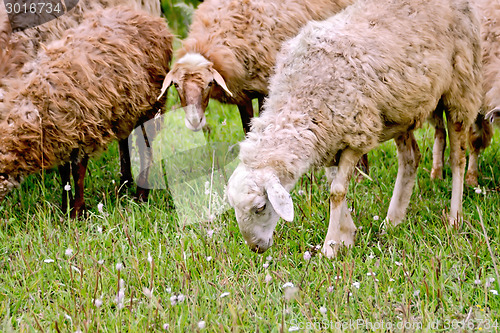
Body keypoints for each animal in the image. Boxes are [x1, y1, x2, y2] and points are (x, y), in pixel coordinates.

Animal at [226, 0, 480, 256]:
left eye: (260, 207)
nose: (256, 247)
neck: (300, 94)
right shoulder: (328, 141)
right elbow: (334, 184)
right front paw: (347, 235)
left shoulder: (357, 136)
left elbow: (336, 191)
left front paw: (330, 246)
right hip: (401, 109)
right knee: (411, 157)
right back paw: (393, 220)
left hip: (460, 88)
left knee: (458, 158)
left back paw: (454, 218)